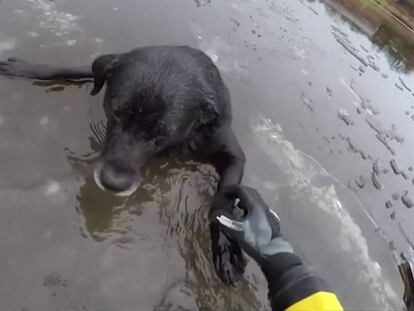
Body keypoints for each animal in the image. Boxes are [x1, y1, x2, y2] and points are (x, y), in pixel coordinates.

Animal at [0, 45, 246, 286]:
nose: (112, 183)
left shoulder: (232, 154)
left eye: (161, 133)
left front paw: (227, 252)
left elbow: (222, 203)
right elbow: (69, 69)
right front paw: (24, 68)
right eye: (117, 113)